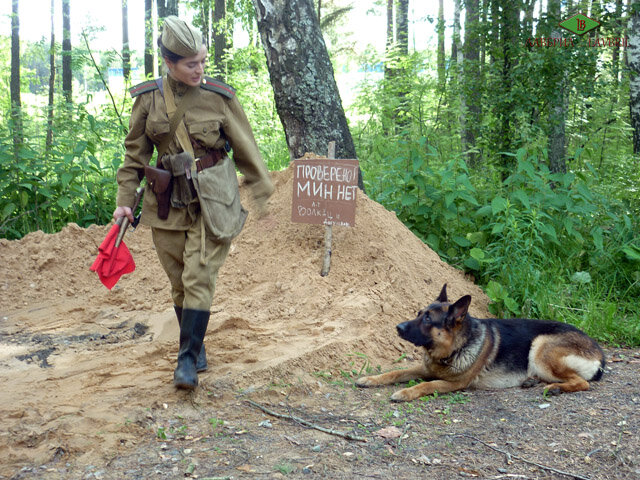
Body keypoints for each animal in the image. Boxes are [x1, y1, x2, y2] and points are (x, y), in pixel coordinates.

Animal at [356, 284, 604, 402]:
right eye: (418, 313)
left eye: (427, 319)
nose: (398, 327)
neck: (454, 349)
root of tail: (599, 353)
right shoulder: (425, 368)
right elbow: (396, 372)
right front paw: (371, 379)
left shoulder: (455, 383)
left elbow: (425, 385)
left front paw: (405, 393)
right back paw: (531, 381)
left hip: (540, 346)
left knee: (582, 382)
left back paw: (555, 388)